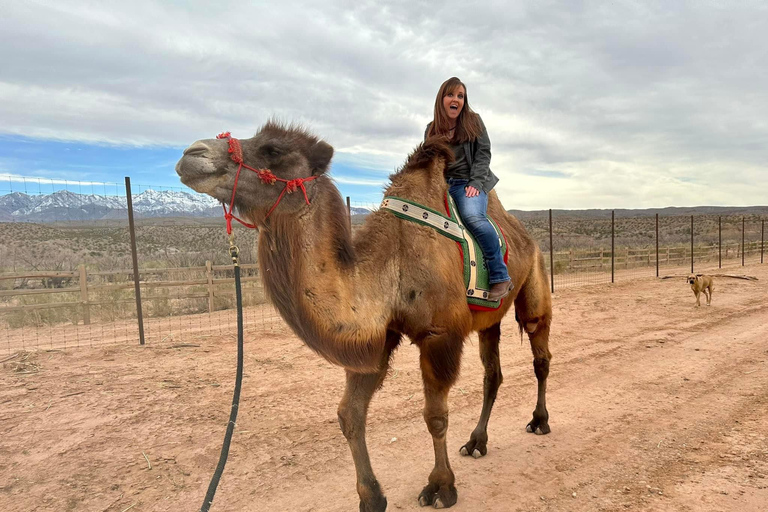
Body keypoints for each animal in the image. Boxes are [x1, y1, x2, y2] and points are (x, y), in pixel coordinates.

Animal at [176, 122, 553, 511]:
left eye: (273, 150)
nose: (192, 154)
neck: (392, 260)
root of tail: (524, 235)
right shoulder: (378, 336)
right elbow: (350, 414)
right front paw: (372, 497)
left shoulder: (439, 335)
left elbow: (435, 416)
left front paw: (441, 487)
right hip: (488, 319)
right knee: (493, 373)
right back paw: (477, 442)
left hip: (535, 279)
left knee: (539, 352)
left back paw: (538, 421)